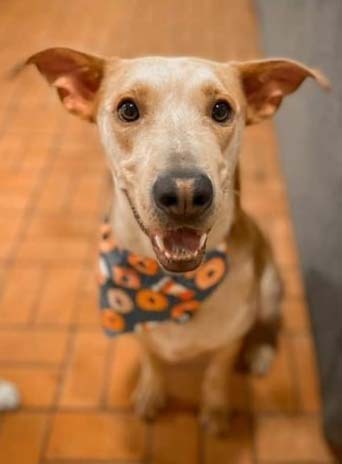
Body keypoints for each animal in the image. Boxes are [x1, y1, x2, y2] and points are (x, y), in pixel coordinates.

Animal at [22, 49, 328, 434]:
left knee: (268, 321)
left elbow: (216, 375)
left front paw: (215, 411)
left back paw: (259, 351)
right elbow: (152, 362)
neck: (167, 286)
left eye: (221, 109)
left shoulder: (227, 342)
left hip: (271, 283)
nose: (185, 193)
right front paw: (151, 394)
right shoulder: (139, 331)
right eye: (128, 109)